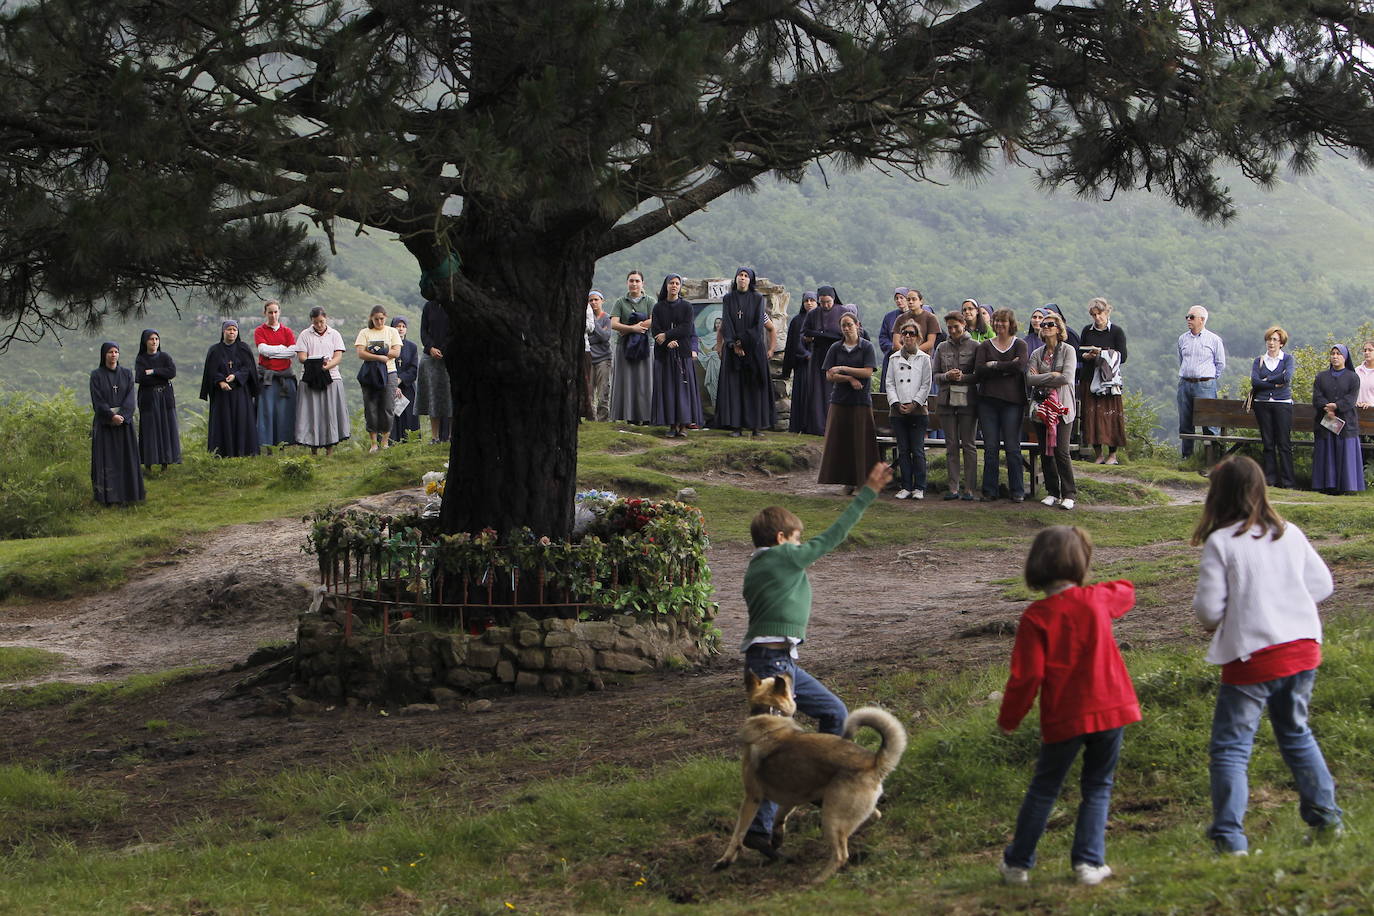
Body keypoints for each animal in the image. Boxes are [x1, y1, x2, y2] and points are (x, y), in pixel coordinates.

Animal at [714, 670, 906, 884]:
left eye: (784, 679)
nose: (786, 671)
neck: (769, 713)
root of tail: (874, 762)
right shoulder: (792, 795)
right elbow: (779, 816)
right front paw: (777, 837)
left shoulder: (752, 797)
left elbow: (738, 834)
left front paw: (725, 860)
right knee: (872, 817)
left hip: (831, 818)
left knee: (841, 855)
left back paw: (818, 880)